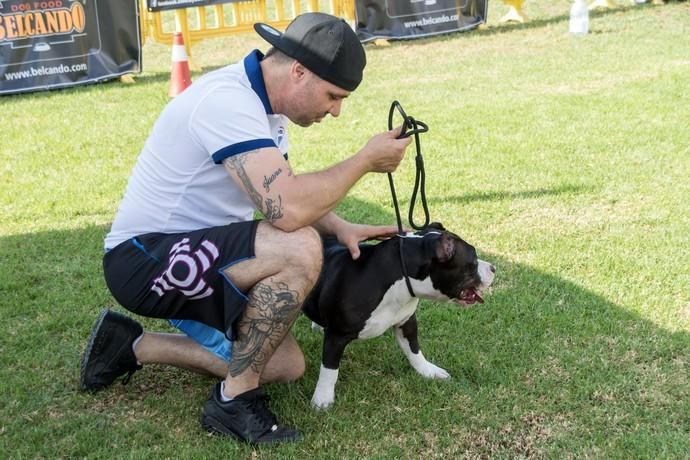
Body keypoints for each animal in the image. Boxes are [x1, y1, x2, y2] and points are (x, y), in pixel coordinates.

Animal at [302, 223, 494, 410]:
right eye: (474, 260)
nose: (493, 268)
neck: (399, 276)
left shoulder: (407, 322)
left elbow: (415, 351)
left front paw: (428, 371)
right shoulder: (336, 336)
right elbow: (329, 370)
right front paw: (322, 400)